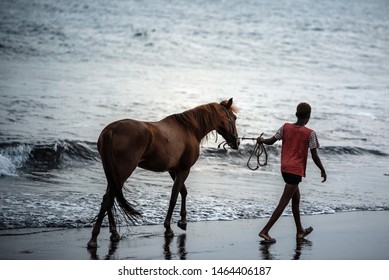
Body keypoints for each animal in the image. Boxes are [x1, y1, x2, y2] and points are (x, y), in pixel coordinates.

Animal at [87, 98, 239, 247]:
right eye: (234, 118)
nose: (236, 142)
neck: (189, 129)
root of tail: (110, 131)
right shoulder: (184, 170)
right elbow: (174, 196)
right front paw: (169, 227)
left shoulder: (173, 170)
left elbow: (183, 192)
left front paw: (182, 221)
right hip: (122, 172)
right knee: (108, 200)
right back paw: (94, 238)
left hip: (113, 175)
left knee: (108, 199)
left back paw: (113, 233)